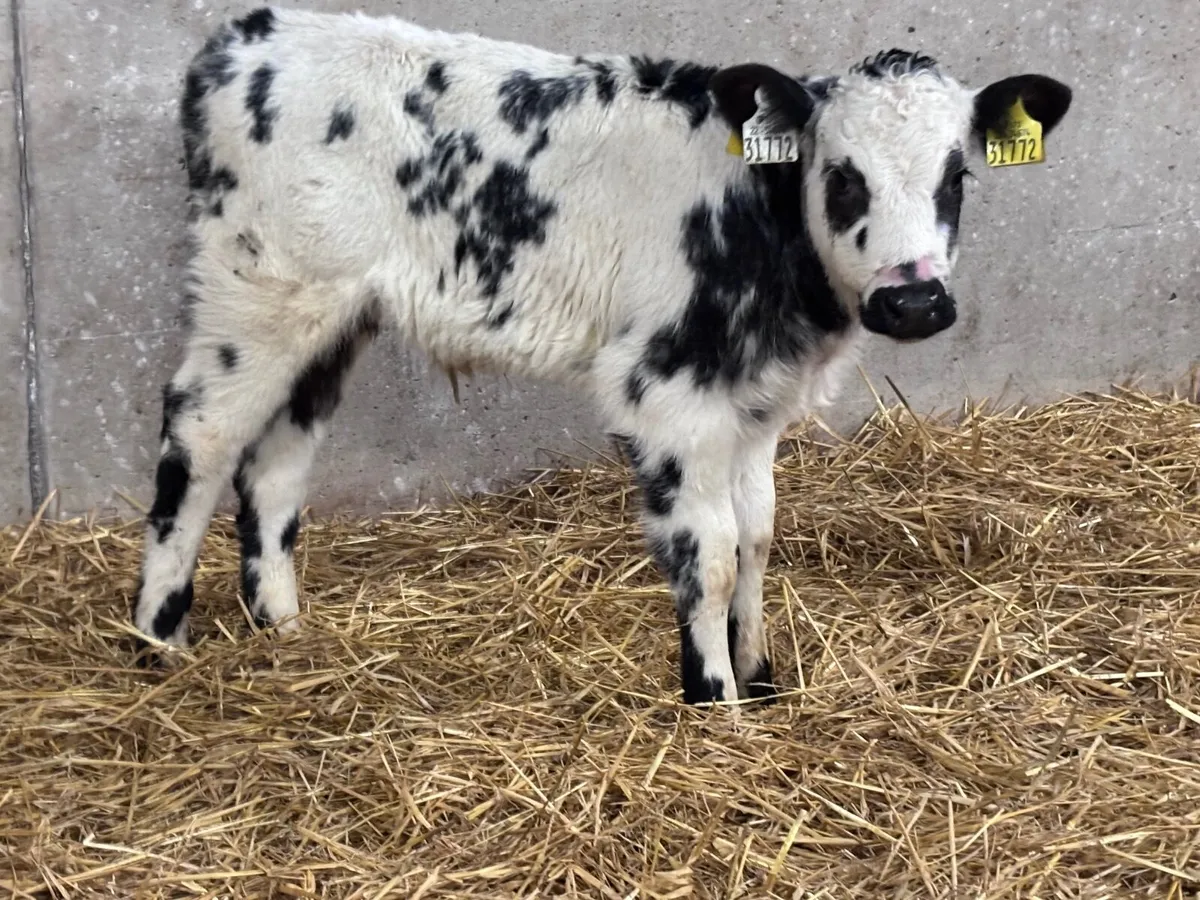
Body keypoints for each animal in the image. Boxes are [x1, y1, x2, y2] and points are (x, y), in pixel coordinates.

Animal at [131, 5, 1073, 706]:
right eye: (841, 175)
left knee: (278, 460)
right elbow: (711, 554)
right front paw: (713, 697)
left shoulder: (755, 400)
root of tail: (250, 34)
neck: (756, 222)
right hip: (255, 290)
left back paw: (283, 629)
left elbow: (759, 535)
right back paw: (157, 640)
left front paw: (762, 678)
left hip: (333, 315)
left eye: (958, 176)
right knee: (203, 437)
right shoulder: (667, 392)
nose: (913, 301)